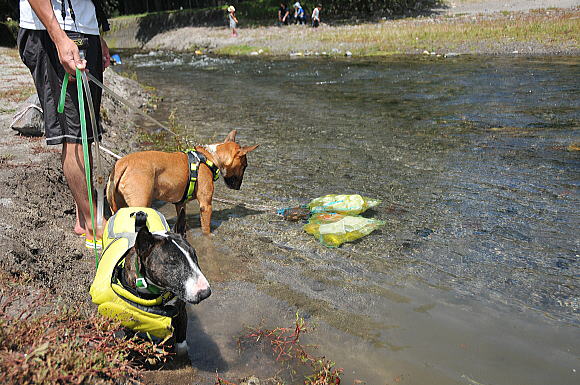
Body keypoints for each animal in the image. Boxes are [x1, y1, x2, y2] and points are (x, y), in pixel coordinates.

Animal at [106, 130, 258, 234]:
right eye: (245, 166)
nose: (238, 187)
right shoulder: (206, 206)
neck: (210, 157)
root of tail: (123, 164)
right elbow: (206, 230)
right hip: (140, 205)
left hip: (117, 207)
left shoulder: (180, 204)